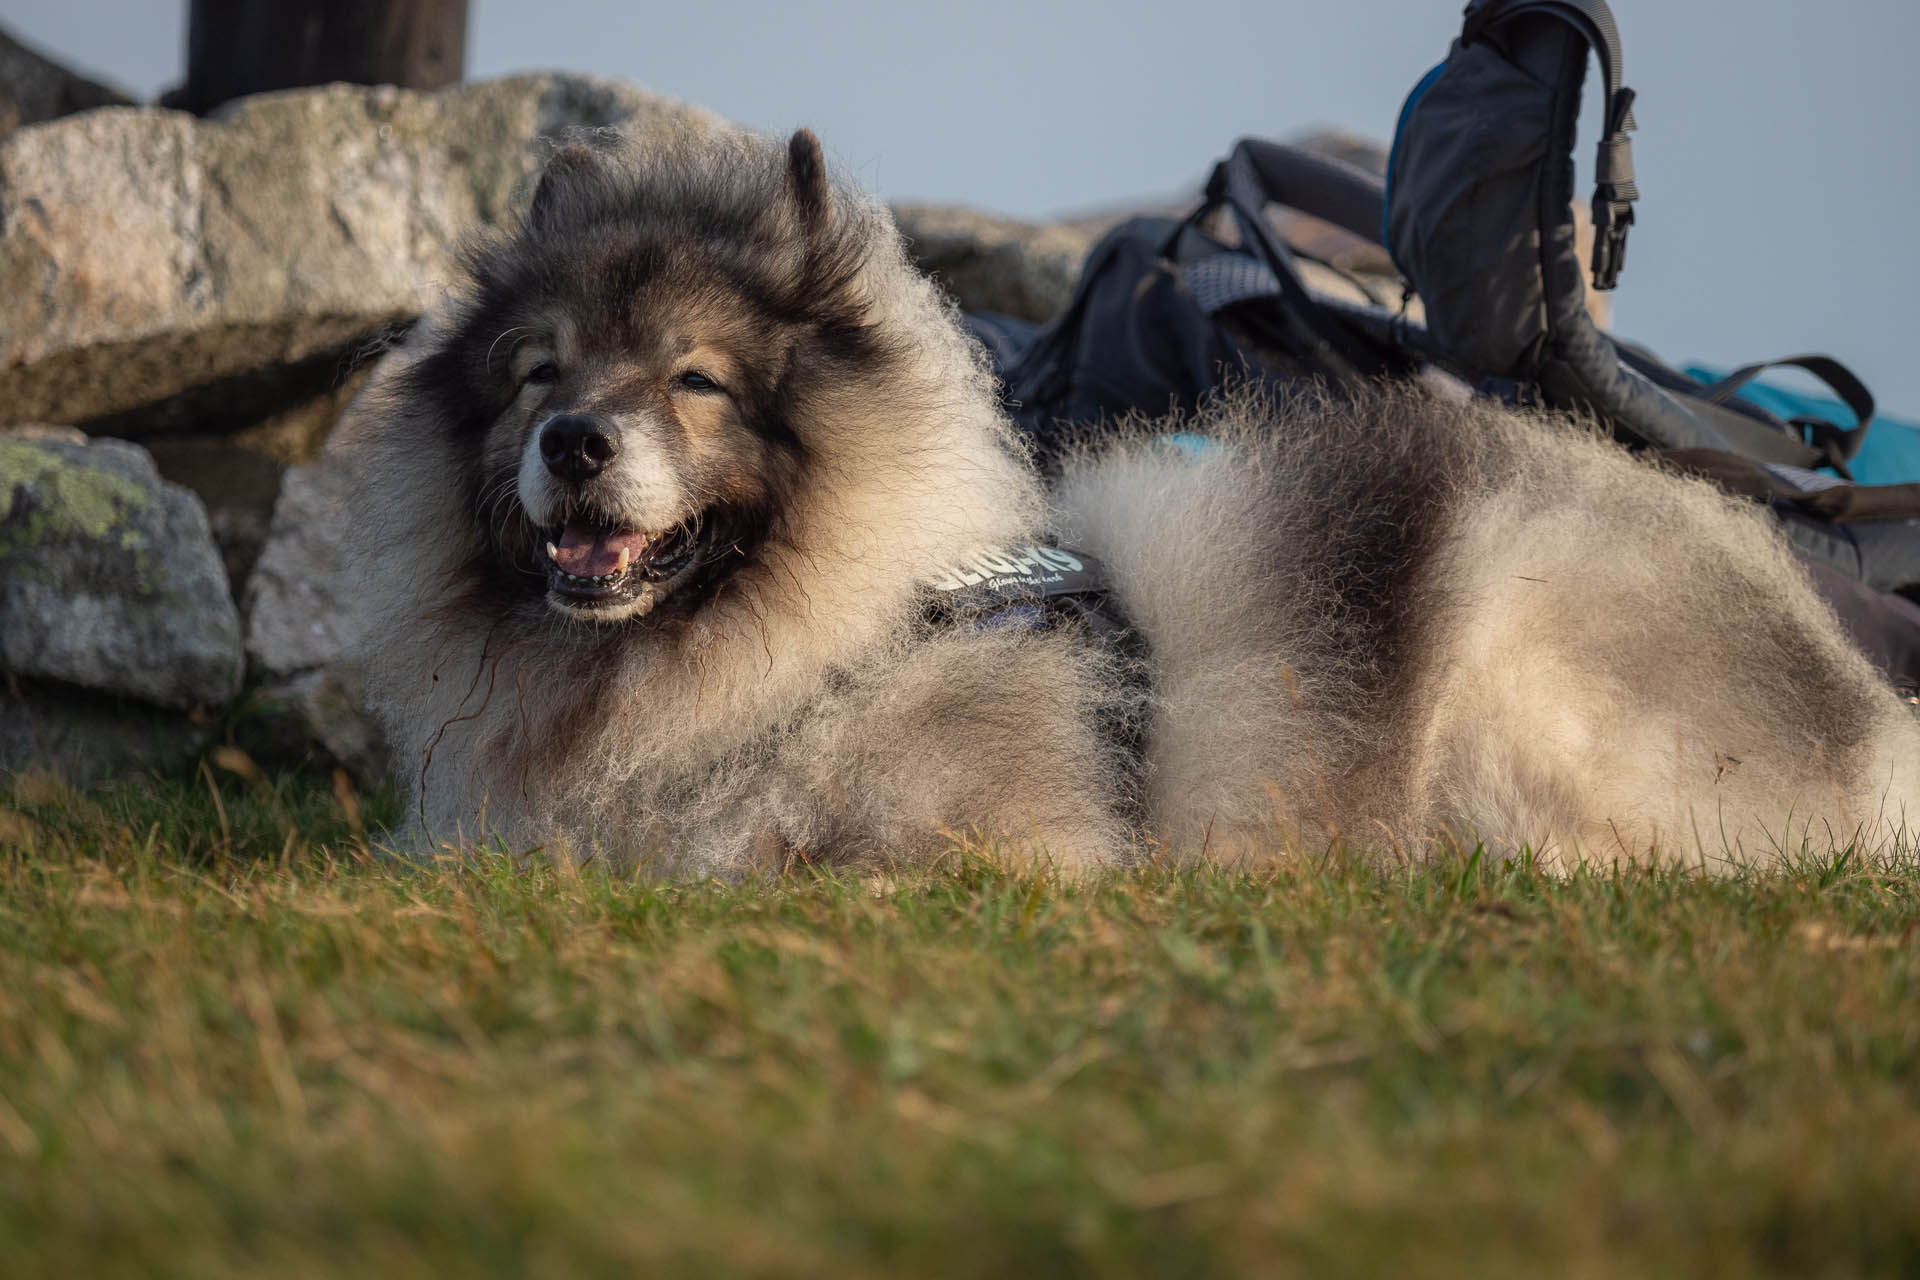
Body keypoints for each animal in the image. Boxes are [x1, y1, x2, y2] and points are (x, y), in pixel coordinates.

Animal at [341, 127, 1920, 871]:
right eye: (538, 374)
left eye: (694, 382)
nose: (576, 444)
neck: (837, 640)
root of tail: (1866, 711)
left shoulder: (1007, 852)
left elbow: (807, 862)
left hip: (1518, 654)